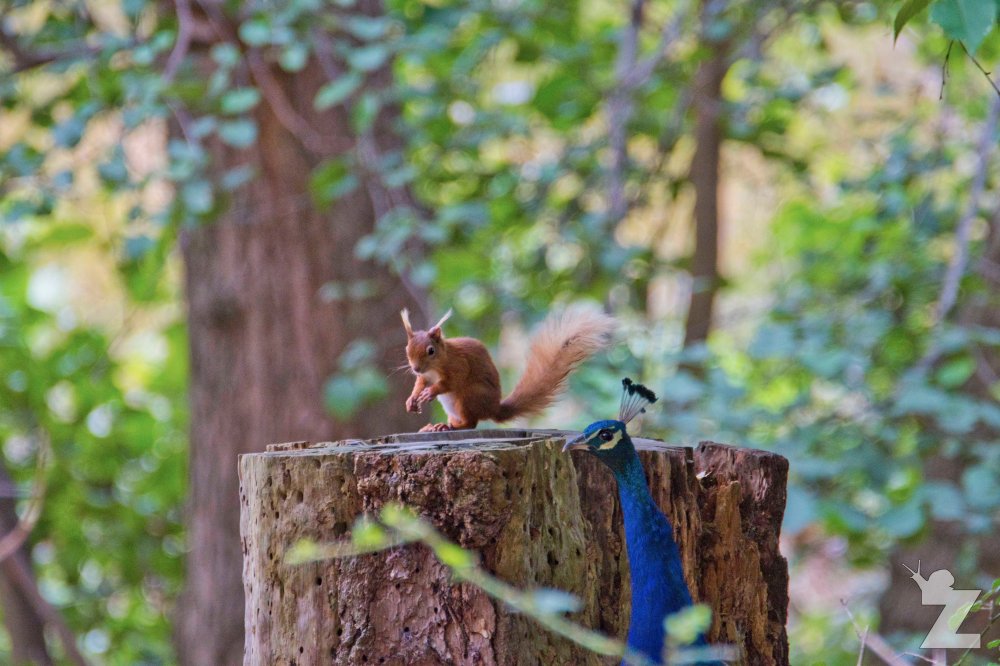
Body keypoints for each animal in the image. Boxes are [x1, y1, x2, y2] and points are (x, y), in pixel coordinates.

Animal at [400, 307, 616, 432]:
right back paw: (435, 427)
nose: (416, 368)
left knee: (472, 423)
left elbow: (451, 381)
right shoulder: (425, 376)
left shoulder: (458, 365)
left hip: (469, 397)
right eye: (407, 349)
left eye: (431, 350)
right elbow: (419, 383)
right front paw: (412, 399)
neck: (436, 365)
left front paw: (431, 392)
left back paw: (450, 427)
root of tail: (494, 409)